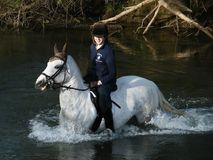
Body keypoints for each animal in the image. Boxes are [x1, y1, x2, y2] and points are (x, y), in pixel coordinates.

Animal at [34, 44, 183, 133]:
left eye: (57, 66)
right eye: (48, 63)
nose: (38, 83)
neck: (76, 102)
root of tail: (152, 84)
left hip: (145, 116)